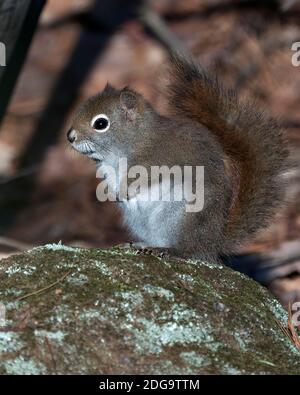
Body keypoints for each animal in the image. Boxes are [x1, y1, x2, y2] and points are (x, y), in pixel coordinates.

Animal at [67, 53, 288, 262]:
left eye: (101, 123)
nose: (70, 136)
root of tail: (213, 244)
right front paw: (111, 192)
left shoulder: (156, 161)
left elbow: (139, 177)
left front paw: (123, 189)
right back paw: (141, 244)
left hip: (182, 216)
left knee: (187, 250)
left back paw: (169, 250)